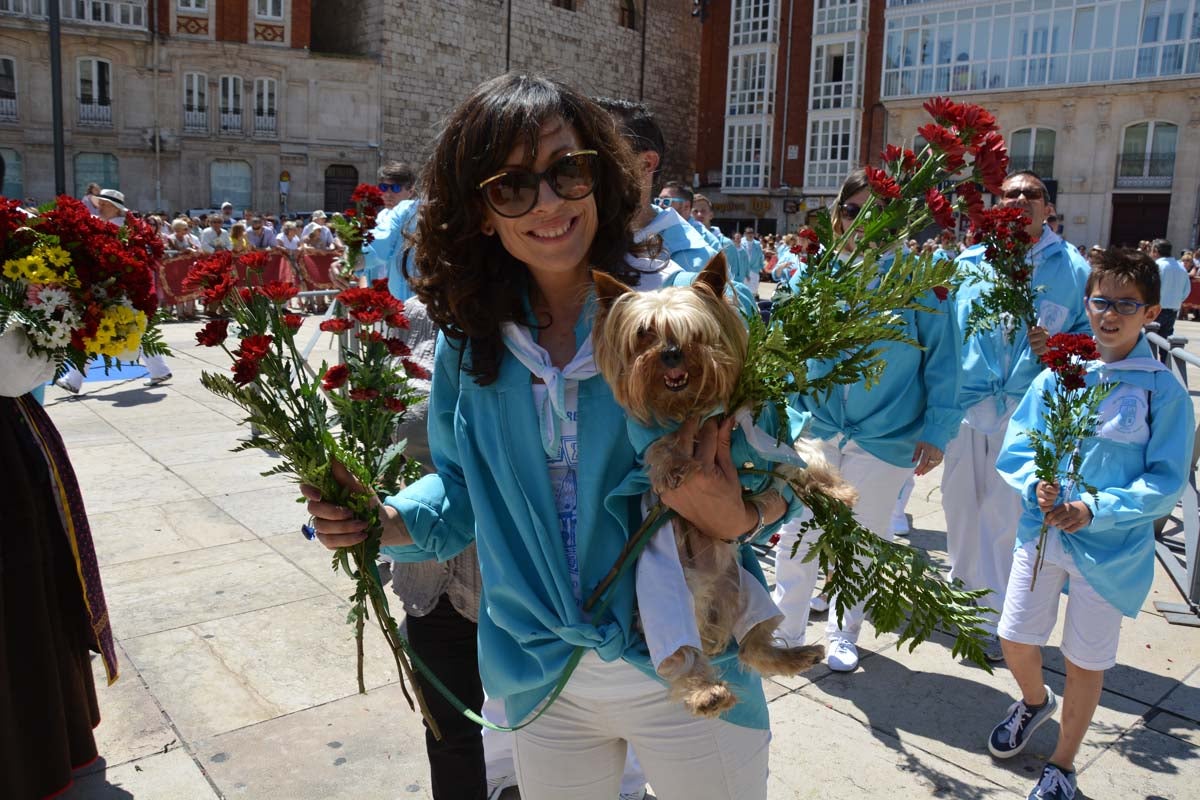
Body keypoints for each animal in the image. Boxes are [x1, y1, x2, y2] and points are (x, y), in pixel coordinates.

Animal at [590, 253, 854, 714]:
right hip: (669, 596)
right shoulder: (650, 440)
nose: (671, 354)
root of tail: (713, 605)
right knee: (680, 654)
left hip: (752, 591)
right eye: (644, 334)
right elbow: (660, 450)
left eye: (693, 333)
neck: (695, 407)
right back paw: (706, 692)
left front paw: (835, 490)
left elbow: (806, 453)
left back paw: (797, 655)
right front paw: (673, 465)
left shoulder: (770, 427)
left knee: (753, 645)